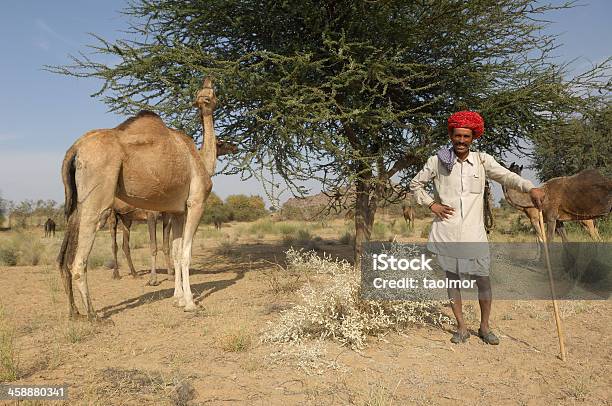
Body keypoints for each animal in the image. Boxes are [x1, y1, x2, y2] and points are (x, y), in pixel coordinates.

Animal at [57, 78, 220, 320]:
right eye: (209, 93)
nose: (205, 97)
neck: (201, 160)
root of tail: (75, 148)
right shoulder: (196, 203)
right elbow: (186, 253)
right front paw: (190, 303)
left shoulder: (177, 211)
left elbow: (175, 252)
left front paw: (178, 299)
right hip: (98, 198)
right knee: (81, 255)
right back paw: (95, 316)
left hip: (79, 198)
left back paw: (75, 313)